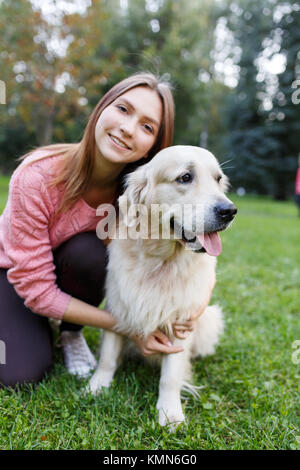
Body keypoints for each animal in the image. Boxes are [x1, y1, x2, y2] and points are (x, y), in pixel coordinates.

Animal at [88, 146, 237, 430]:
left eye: (218, 179)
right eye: (185, 177)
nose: (229, 210)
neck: (161, 260)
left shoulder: (181, 320)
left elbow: (170, 375)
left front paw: (169, 412)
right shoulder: (117, 305)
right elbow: (108, 355)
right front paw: (97, 385)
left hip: (210, 316)